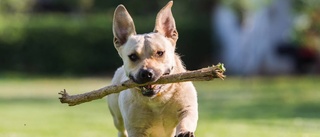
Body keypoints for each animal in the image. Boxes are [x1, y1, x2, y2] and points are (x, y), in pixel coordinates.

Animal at [107, 1, 198, 137]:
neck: (157, 99)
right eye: (132, 56)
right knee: (120, 129)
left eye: (160, 53)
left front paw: (184, 132)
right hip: (117, 118)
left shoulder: (187, 107)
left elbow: (186, 118)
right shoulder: (136, 128)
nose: (146, 73)